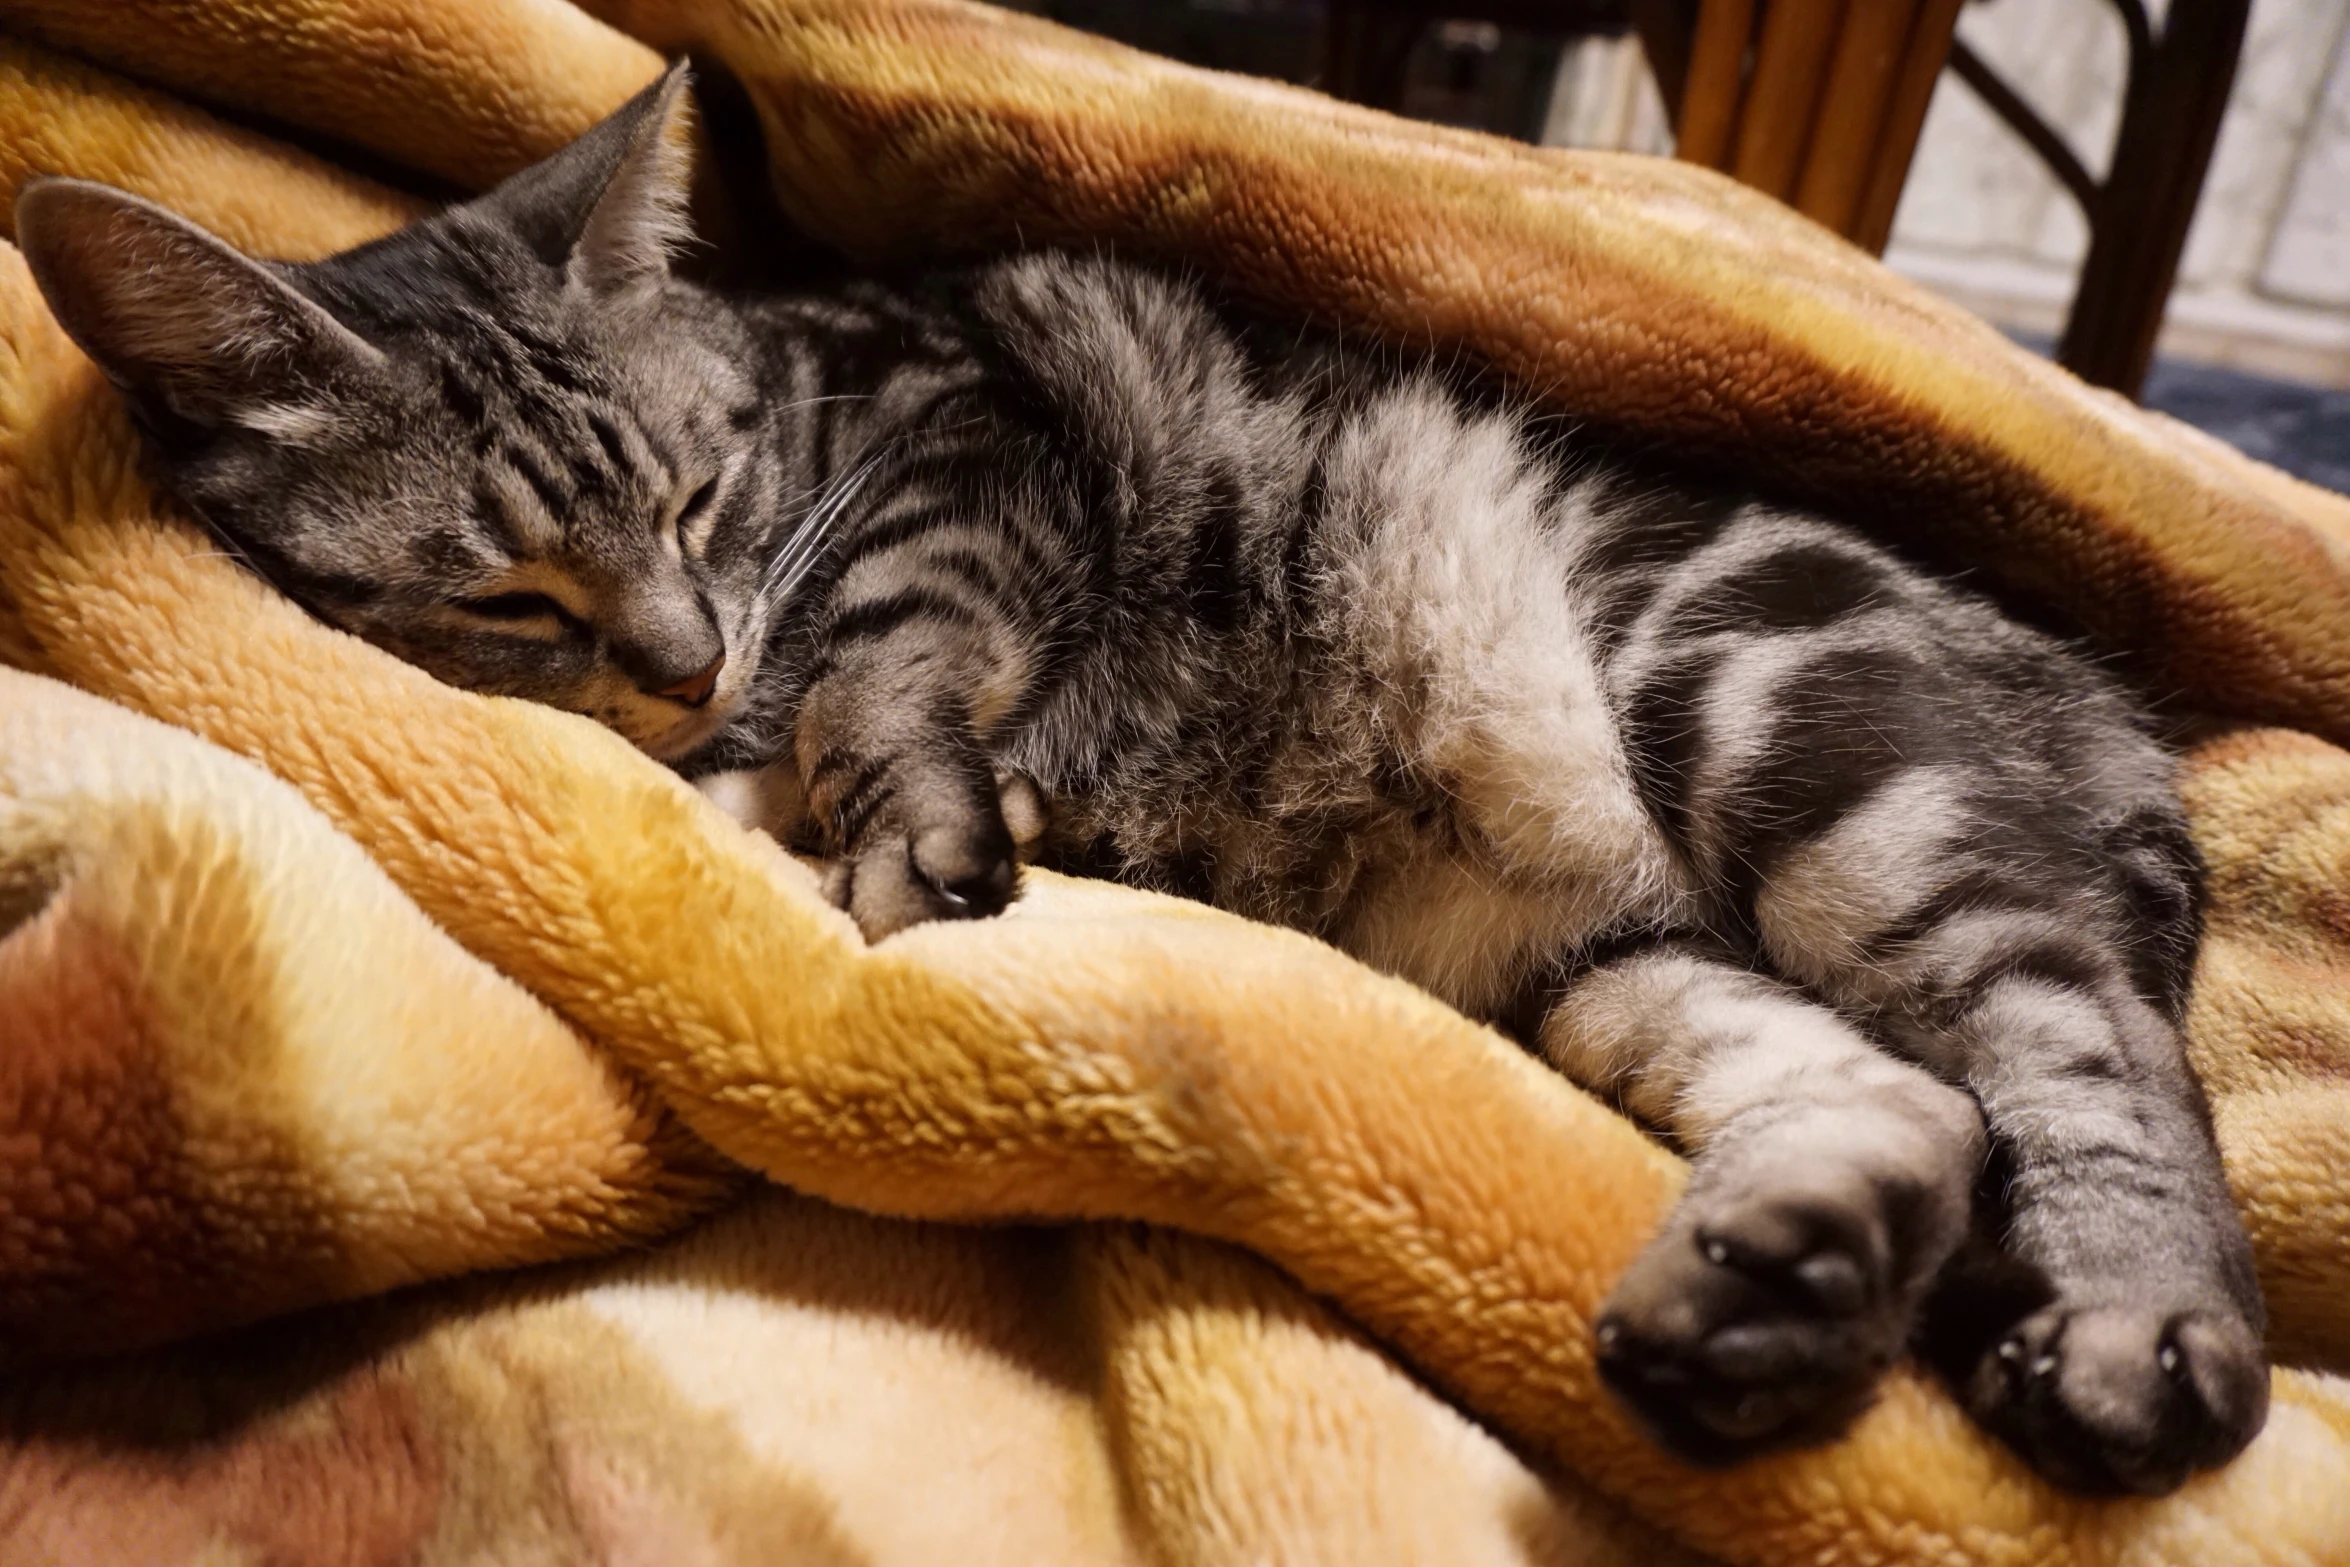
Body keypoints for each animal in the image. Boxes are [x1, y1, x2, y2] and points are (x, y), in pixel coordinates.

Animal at [13, 67, 2256, 1494]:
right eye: (505, 597)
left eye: (700, 496)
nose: (682, 660)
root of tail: (2118, 726)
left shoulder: (956, 440)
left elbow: (881, 657)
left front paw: (908, 822)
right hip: (1604, 963)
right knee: (1905, 1097)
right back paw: (1772, 1290)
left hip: (1779, 705)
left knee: (2084, 1046)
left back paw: (2142, 1336)